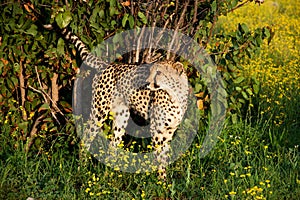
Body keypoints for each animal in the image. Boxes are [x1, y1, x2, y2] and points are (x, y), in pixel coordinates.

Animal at [52, 25, 188, 180]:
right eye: (151, 71)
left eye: (159, 73)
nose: (147, 82)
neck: (175, 95)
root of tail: (109, 65)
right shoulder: (157, 129)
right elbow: (160, 156)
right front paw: (161, 180)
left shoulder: (169, 130)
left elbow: (165, 155)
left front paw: (164, 182)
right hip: (99, 112)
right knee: (86, 137)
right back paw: (82, 169)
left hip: (121, 117)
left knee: (112, 144)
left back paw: (109, 174)